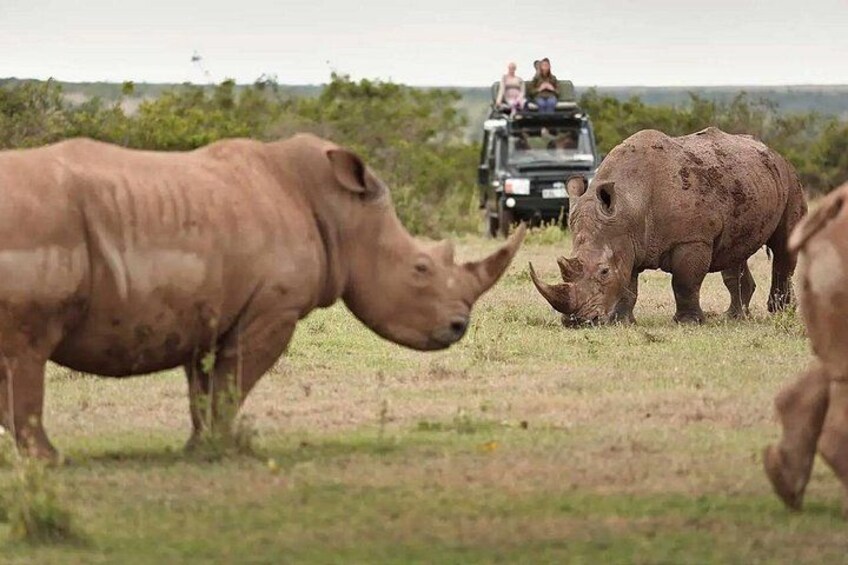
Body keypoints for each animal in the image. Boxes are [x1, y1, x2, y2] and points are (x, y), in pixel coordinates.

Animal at [0, 134, 525, 459]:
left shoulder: (204, 312)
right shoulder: (273, 309)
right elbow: (233, 383)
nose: (458, 327)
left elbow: (204, 388)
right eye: (420, 269)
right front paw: (223, 449)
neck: (341, 213)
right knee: (26, 351)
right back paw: (51, 461)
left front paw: (200, 448)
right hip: (37, 224)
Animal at [529, 127, 807, 325]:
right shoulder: (628, 241)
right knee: (735, 253)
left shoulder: (692, 239)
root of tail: (773, 152)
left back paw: (779, 312)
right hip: (747, 182)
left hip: (790, 179)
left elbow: (684, 282)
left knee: (783, 247)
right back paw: (735, 317)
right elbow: (629, 284)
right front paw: (622, 321)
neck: (630, 203)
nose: (577, 322)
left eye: (604, 271)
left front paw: (688, 322)